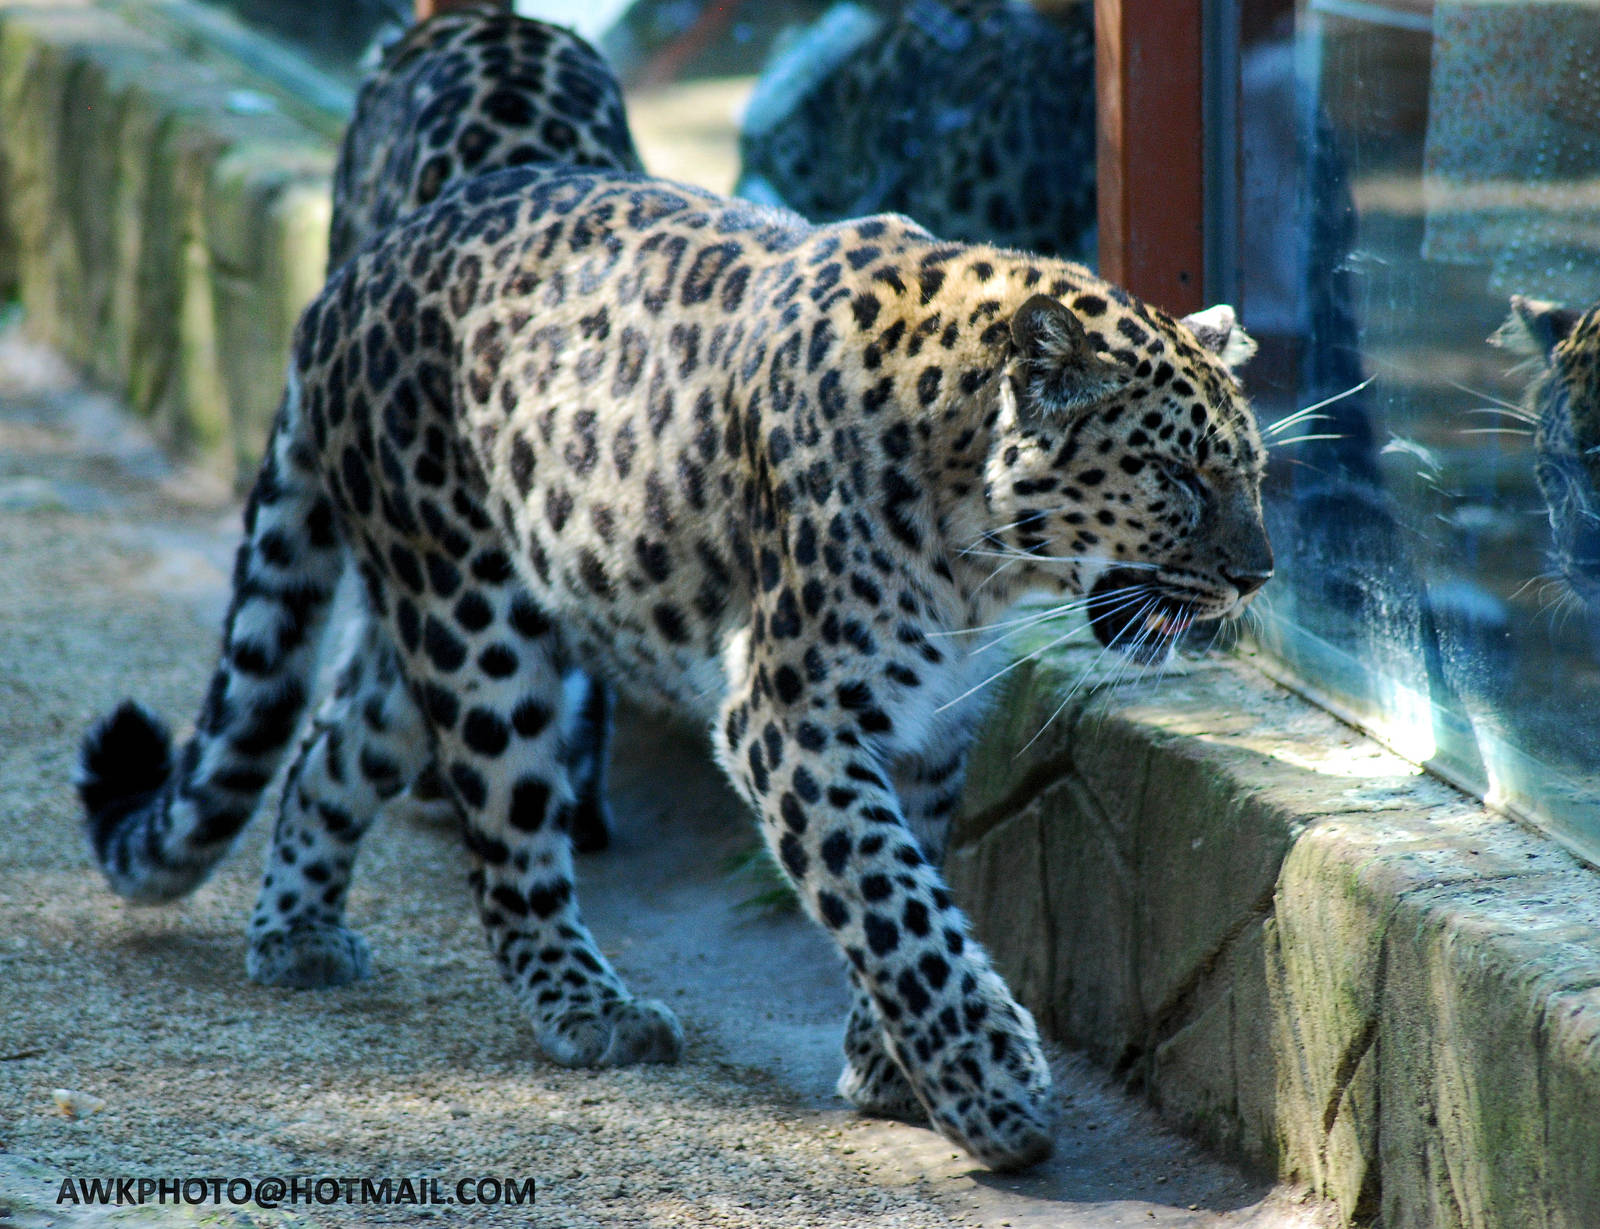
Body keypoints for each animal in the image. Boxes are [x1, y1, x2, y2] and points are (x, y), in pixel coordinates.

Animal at [77, 162, 1272, 1170]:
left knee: (329, 745)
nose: (1258, 574)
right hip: (478, 626)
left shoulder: (925, 727)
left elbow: (909, 876)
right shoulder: (787, 715)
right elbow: (892, 901)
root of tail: (346, 281)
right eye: (1176, 474)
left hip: (441, 609)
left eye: (1254, 472)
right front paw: (989, 1088)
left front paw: (890, 1065)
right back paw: (592, 1009)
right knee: (507, 847)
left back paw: (296, 933)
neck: (978, 547)